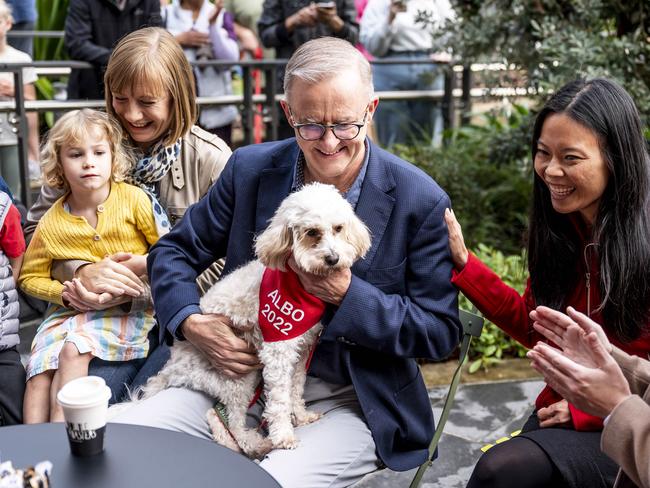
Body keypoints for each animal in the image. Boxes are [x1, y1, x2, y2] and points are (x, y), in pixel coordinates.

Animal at [135, 183, 370, 458]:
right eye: (312, 232)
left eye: (339, 228)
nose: (333, 259)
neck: (297, 287)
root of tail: (173, 365)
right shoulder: (278, 351)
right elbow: (279, 399)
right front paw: (284, 435)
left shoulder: (302, 352)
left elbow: (295, 389)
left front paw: (301, 416)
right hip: (239, 377)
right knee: (233, 424)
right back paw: (259, 443)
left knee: (217, 415)